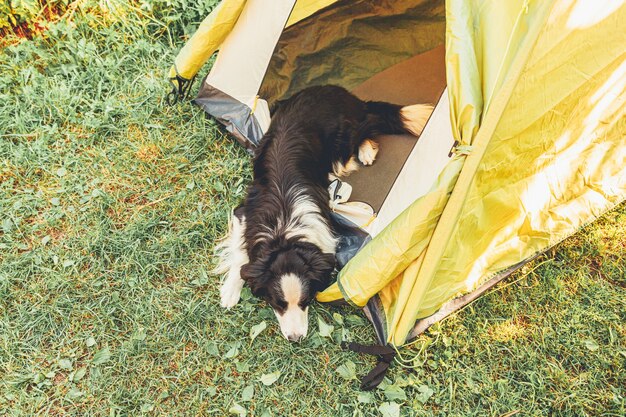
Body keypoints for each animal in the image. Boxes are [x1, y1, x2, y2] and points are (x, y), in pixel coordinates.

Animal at [214, 85, 428, 342]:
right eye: (278, 303)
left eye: (305, 301)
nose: (296, 339)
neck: (285, 229)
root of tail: (341, 93)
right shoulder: (244, 212)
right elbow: (240, 254)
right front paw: (230, 290)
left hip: (342, 144)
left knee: (367, 128)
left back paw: (366, 150)